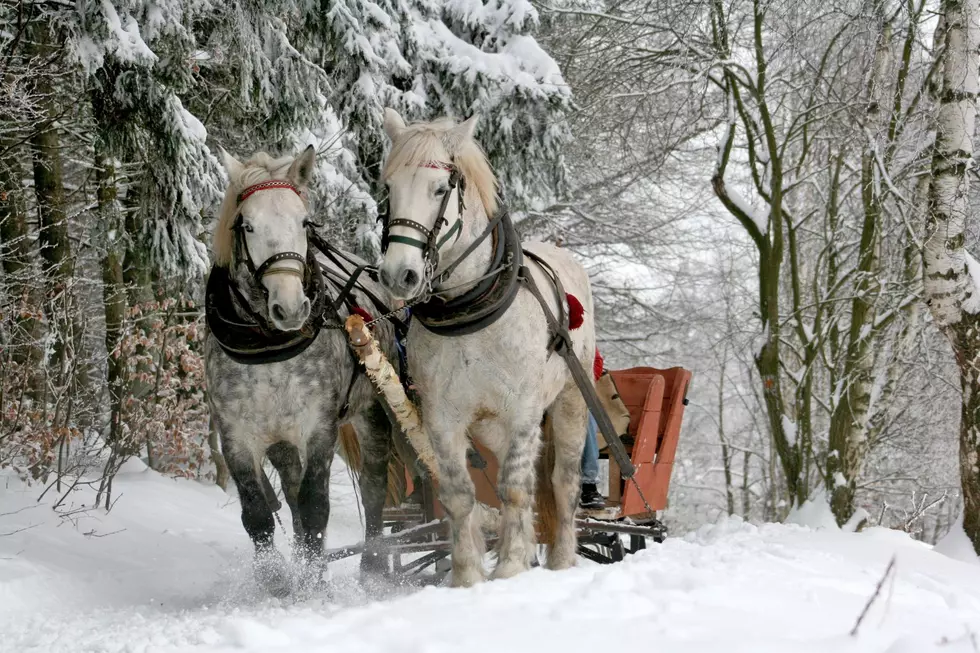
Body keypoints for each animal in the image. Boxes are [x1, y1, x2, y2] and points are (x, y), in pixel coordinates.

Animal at [378, 109, 592, 584]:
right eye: (388, 189)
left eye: (440, 189)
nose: (399, 275)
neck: (469, 311)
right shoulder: (442, 417)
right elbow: (460, 494)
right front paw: (468, 576)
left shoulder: (524, 410)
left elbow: (514, 488)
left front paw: (511, 566)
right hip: (490, 425)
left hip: (569, 401)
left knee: (561, 482)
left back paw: (562, 559)